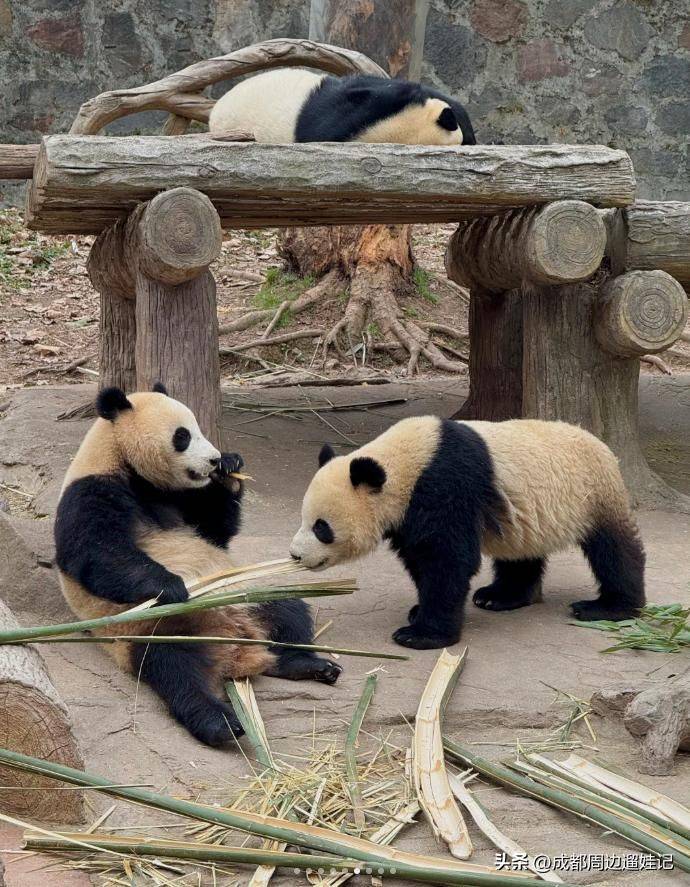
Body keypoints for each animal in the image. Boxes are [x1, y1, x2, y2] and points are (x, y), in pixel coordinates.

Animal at [54, 384, 341, 747]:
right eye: (183, 436)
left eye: (199, 428)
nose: (214, 459)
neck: (122, 461)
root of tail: (237, 650)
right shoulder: (91, 490)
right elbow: (98, 552)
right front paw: (173, 587)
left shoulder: (179, 499)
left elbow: (215, 532)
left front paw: (230, 471)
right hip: (157, 630)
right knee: (177, 671)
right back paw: (221, 723)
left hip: (248, 597)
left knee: (288, 611)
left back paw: (306, 664)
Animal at [290, 416, 646, 650]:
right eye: (303, 519)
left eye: (321, 527)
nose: (295, 554)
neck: (405, 462)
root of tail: (604, 447)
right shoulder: (410, 514)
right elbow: (421, 561)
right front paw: (419, 611)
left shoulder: (445, 485)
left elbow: (447, 559)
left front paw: (421, 634)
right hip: (526, 515)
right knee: (520, 552)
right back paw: (501, 596)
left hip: (593, 495)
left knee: (613, 550)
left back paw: (610, 607)